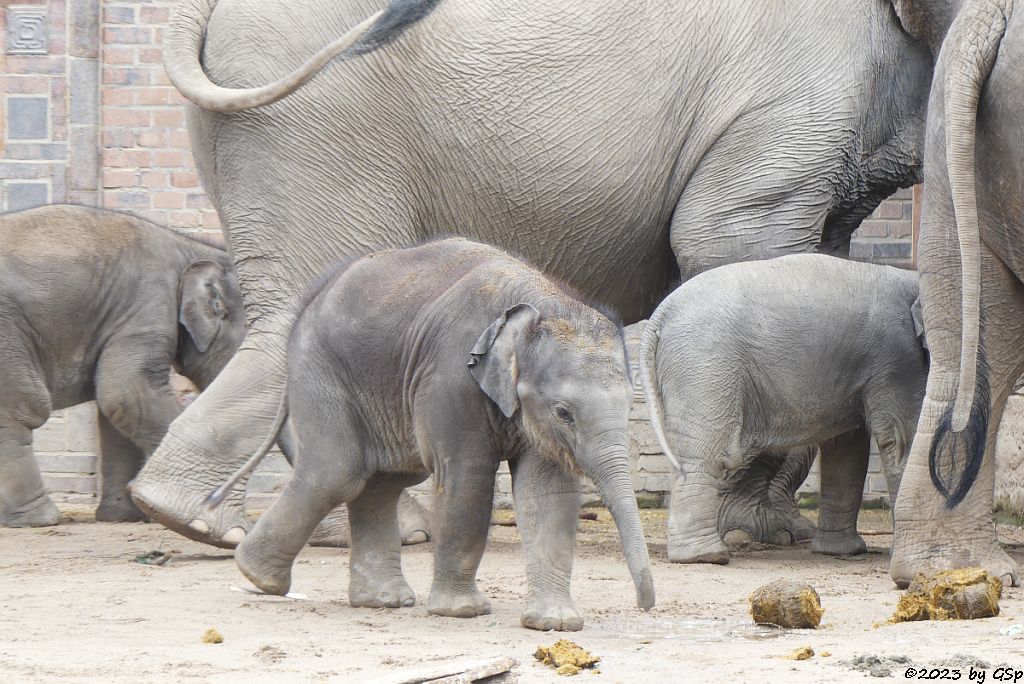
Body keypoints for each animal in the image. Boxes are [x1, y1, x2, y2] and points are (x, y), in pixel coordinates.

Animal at [0, 205, 245, 528]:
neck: (189, 247)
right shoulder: (147, 306)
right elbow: (127, 394)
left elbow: (117, 413)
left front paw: (124, 516)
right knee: (21, 409)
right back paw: (40, 520)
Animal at [214, 239, 655, 630]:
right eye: (564, 413)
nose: (645, 605)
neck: (541, 303)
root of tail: (310, 299)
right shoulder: (450, 375)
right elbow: (468, 476)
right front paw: (462, 612)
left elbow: (546, 491)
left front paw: (555, 624)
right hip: (321, 372)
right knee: (338, 473)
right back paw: (258, 577)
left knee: (384, 481)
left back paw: (381, 600)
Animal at [643, 253, 933, 565]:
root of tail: (660, 314)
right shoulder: (897, 358)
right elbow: (901, 437)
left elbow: (847, 448)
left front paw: (842, 552)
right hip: (705, 365)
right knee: (710, 453)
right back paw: (706, 556)